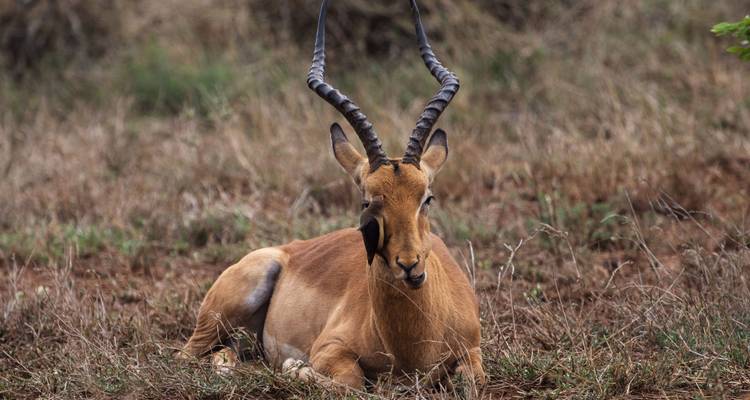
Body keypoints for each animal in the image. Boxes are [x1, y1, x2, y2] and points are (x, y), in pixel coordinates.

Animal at [179, 0, 486, 390]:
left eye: (426, 198)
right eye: (367, 202)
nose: (409, 265)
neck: (414, 345)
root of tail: (287, 250)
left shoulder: (472, 352)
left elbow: (472, 380)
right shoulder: (330, 350)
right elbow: (351, 382)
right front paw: (295, 368)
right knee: (189, 357)